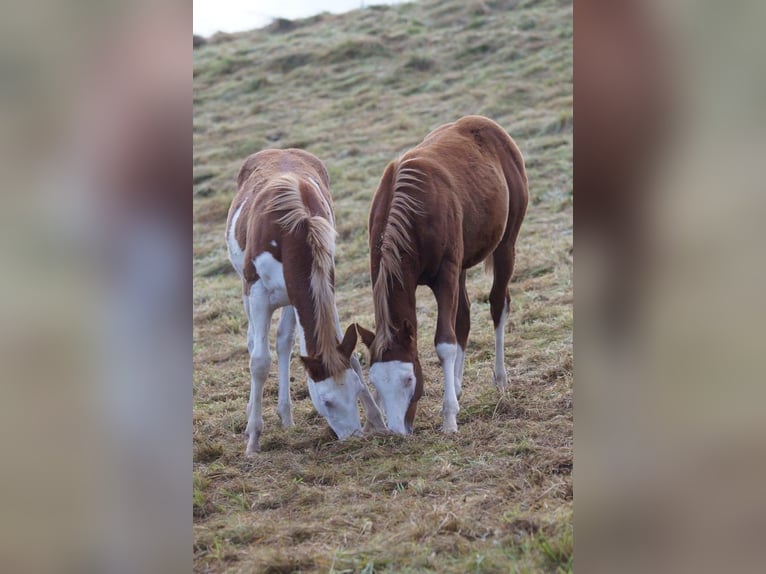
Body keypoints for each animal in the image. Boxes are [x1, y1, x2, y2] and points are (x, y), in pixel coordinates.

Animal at [226, 150, 384, 460]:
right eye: (327, 401)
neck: (293, 231)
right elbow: (259, 362)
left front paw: (377, 420)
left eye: (356, 390)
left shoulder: (320, 286)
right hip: (248, 289)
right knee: (253, 342)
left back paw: (286, 416)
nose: (354, 438)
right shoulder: (257, 292)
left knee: (283, 341)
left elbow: (350, 356)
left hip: (290, 298)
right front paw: (253, 439)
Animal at [358, 116, 528, 436]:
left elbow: (444, 343)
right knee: (463, 316)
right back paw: (458, 386)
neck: (413, 213)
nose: (397, 431)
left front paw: (449, 417)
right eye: (375, 381)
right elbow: (456, 326)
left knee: (499, 304)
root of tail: (486, 124)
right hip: (463, 265)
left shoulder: (446, 273)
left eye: (409, 379)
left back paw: (499, 379)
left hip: (506, 245)